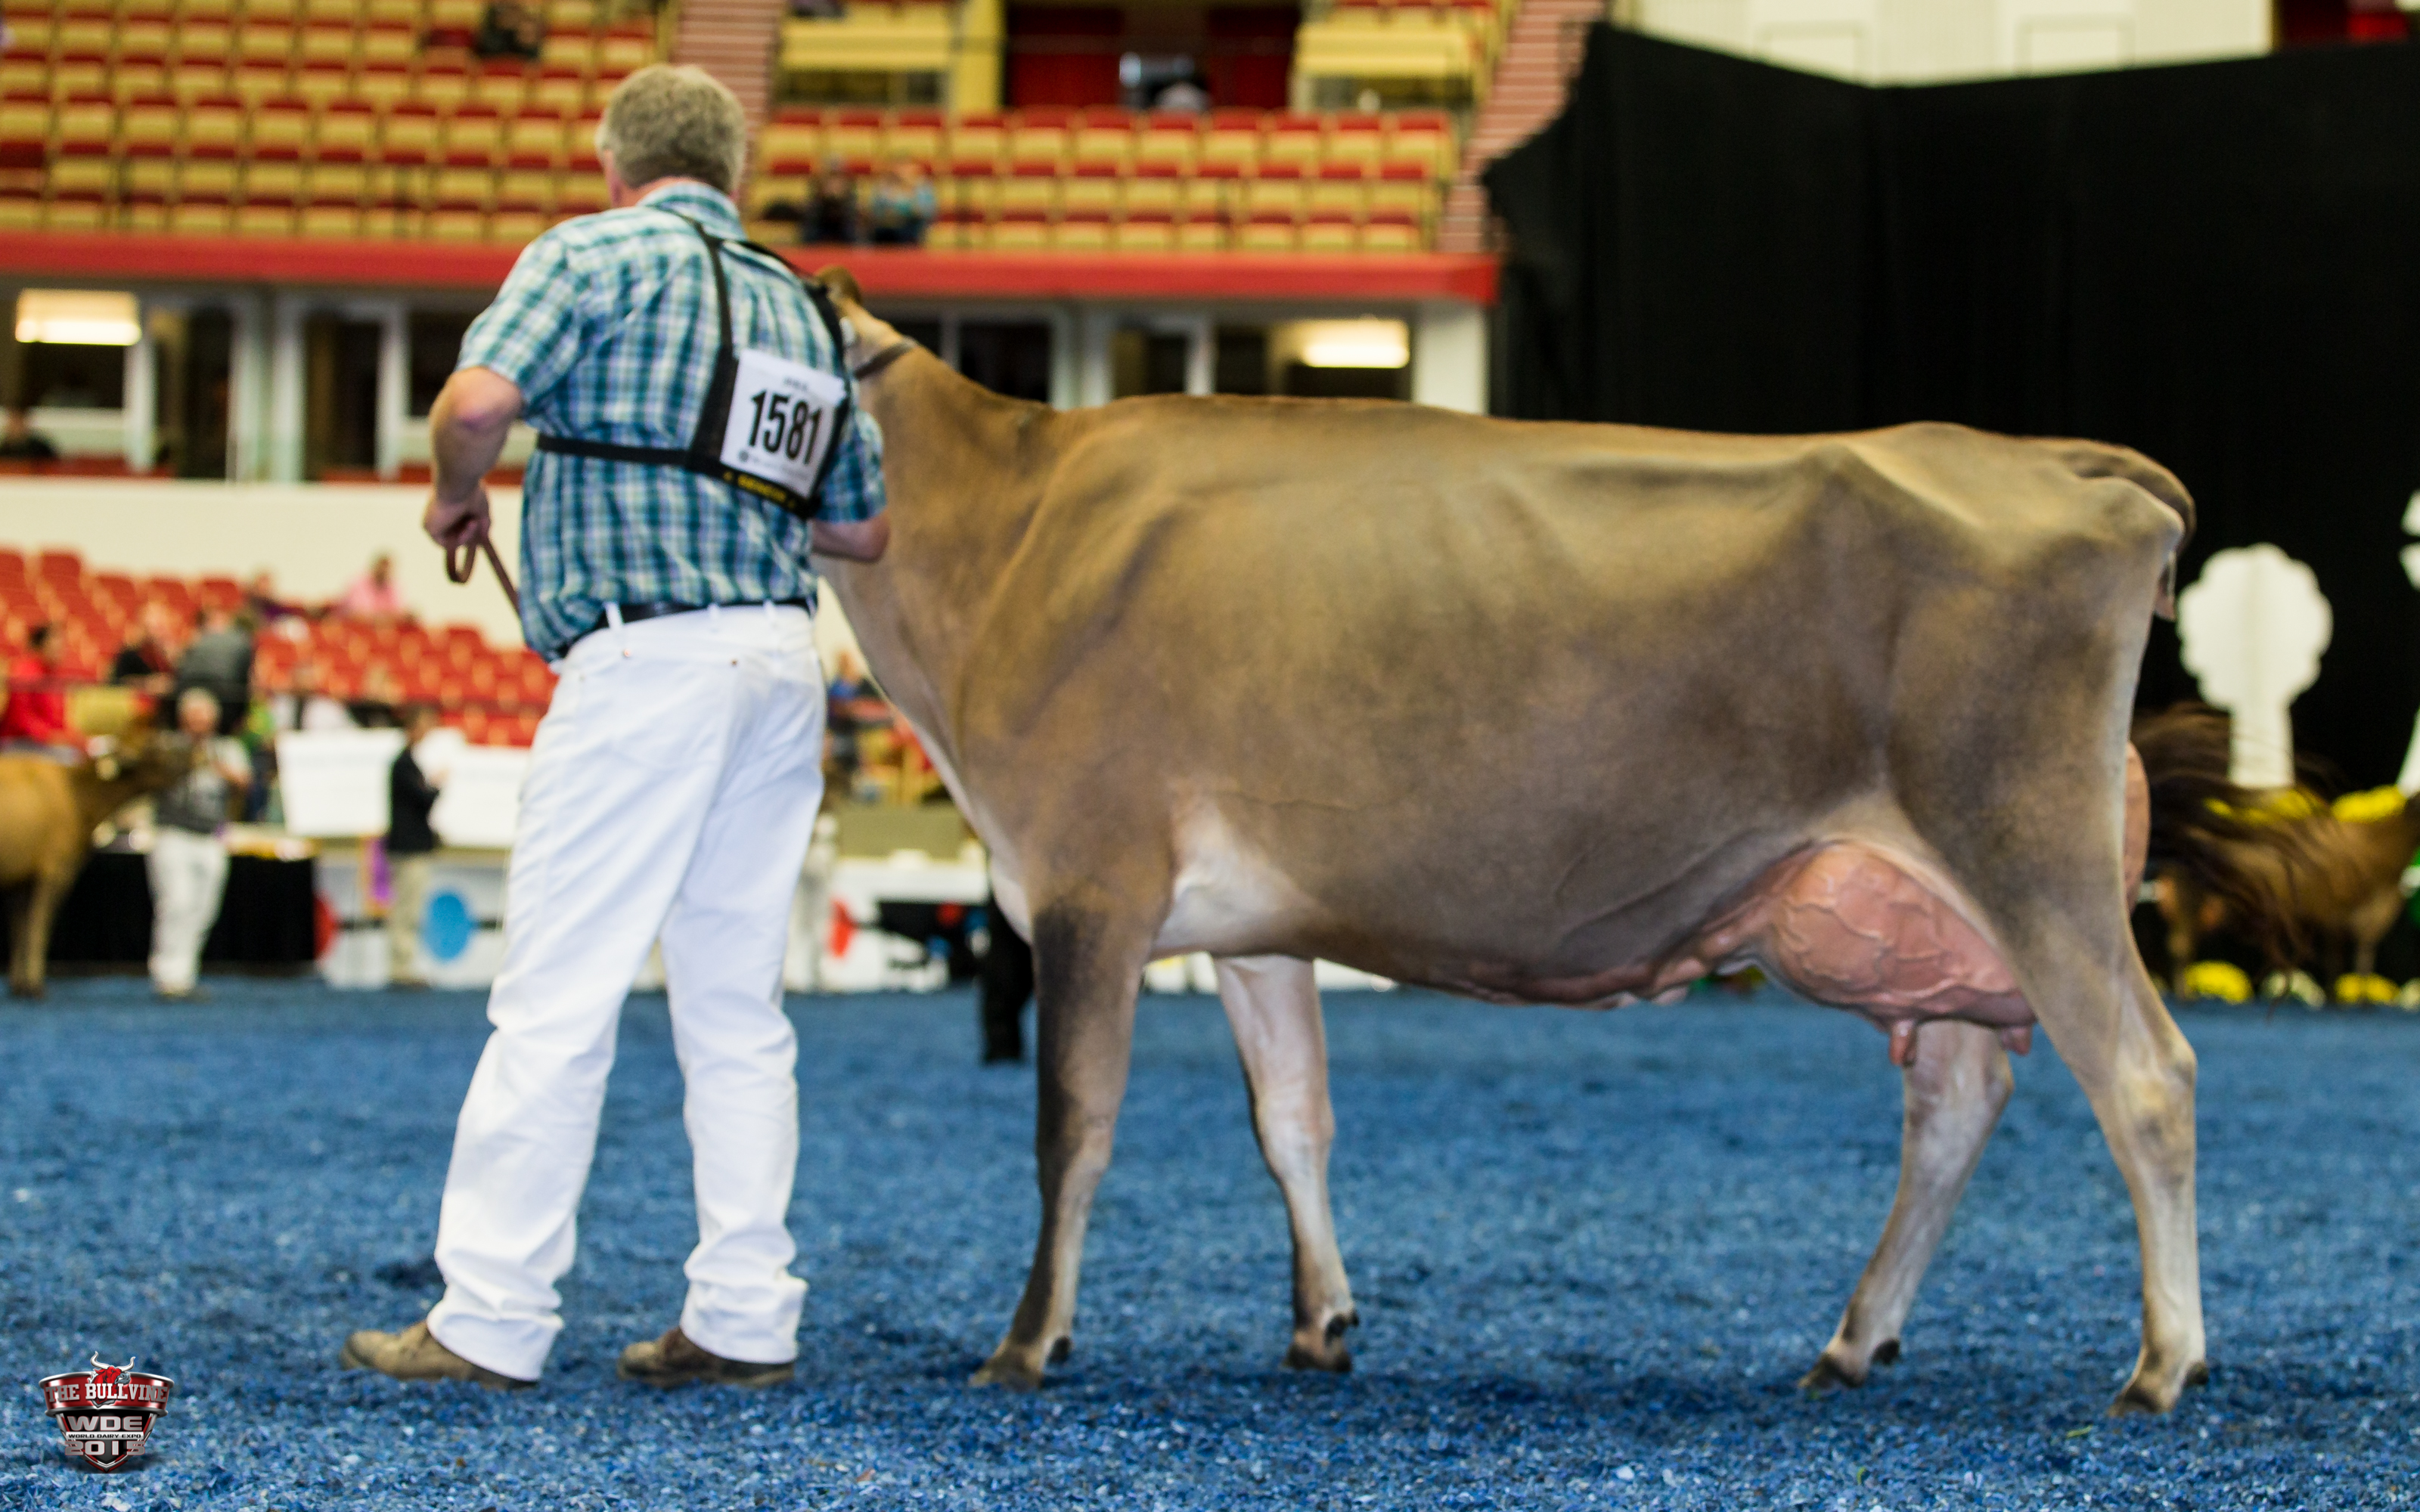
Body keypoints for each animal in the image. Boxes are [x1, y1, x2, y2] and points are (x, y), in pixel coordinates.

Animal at [812, 272, 2203, 1415]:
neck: (1007, 539)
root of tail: (2062, 466)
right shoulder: (1249, 931)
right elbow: (1293, 1116)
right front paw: (1321, 1325)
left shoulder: (1089, 881)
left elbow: (1074, 1122)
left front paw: (1026, 1342)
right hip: (1943, 905)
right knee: (1961, 1096)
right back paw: (1855, 1343)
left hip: (2029, 846)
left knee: (2145, 1078)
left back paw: (2161, 1364)